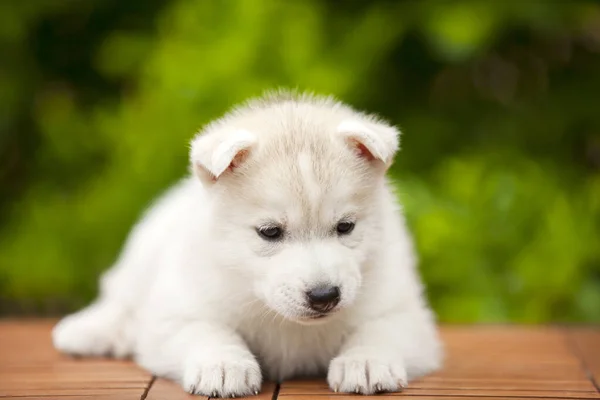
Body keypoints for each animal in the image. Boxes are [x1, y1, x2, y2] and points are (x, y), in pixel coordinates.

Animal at [52, 90, 440, 396]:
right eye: (270, 232)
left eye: (345, 227)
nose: (324, 296)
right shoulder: (176, 313)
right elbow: (207, 331)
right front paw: (224, 367)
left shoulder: (406, 313)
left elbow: (380, 330)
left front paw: (366, 361)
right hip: (141, 258)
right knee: (118, 301)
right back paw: (86, 330)